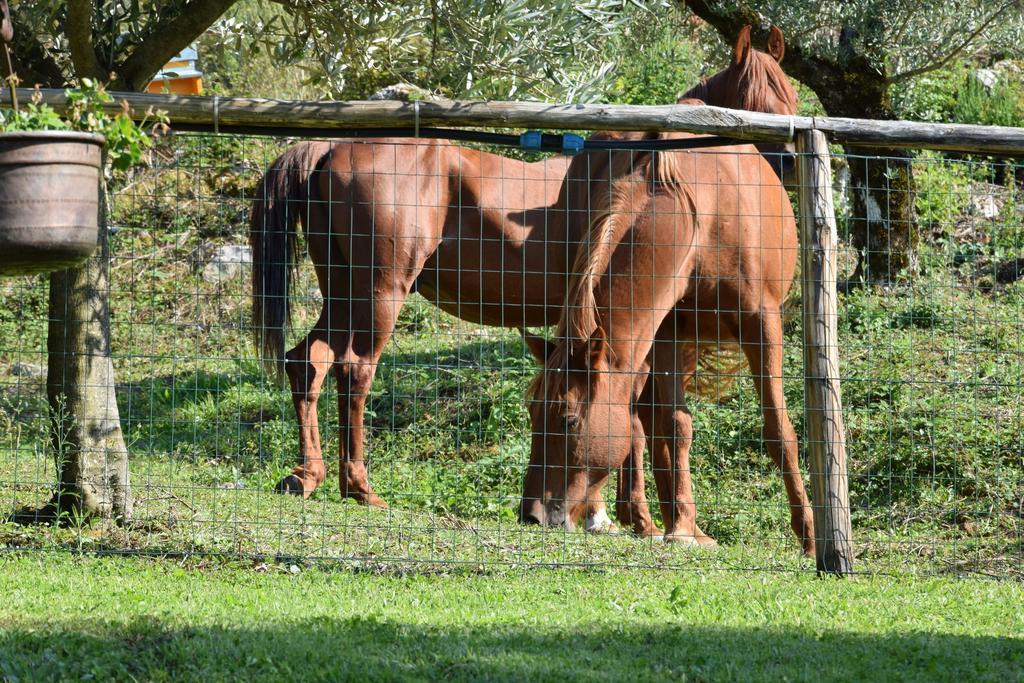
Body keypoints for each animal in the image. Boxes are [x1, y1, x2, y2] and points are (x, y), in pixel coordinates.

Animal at [249, 24, 798, 532]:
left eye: (787, 93)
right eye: (762, 96)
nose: (790, 161)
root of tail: (332, 146)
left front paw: (620, 512)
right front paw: (622, 514)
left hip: (342, 290)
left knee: (309, 360)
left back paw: (307, 474)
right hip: (379, 293)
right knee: (355, 370)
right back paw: (359, 486)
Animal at [520, 126, 815, 557]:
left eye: (568, 420)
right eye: (532, 414)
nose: (531, 515)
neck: (701, 221)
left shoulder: (762, 324)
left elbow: (779, 431)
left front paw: (809, 535)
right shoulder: (664, 334)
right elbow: (674, 426)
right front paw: (681, 526)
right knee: (643, 421)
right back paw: (650, 519)